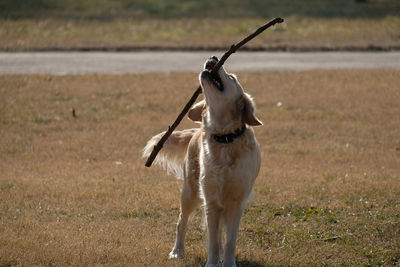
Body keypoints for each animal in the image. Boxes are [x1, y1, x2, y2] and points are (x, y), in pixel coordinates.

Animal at [144, 55, 262, 266]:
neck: (224, 138)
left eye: (232, 77)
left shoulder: (237, 202)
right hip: (190, 192)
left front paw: (228, 262)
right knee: (181, 222)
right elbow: (213, 241)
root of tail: (197, 130)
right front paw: (212, 263)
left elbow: (230, 241)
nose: (214, 57)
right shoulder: (211, 200)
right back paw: (177, 251)